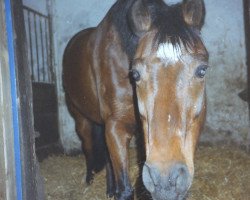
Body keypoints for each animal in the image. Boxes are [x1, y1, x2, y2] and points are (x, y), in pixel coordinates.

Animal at [63, 0, 209, 199]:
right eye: (136, 74)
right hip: (81, 120)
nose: (166, 181)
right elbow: (125, 189)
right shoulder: (115, 127)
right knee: (88, 146)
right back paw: (89, 179)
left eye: (202, 70)